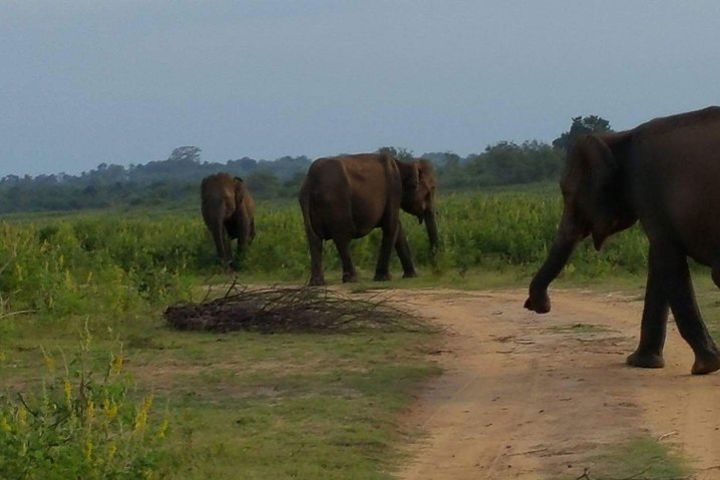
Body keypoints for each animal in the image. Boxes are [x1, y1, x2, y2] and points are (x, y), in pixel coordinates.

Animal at [298, 153, 438, 284]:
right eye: (429, 192)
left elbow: (397, 227)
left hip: (307, 204)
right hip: (336, 202)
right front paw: (383, 278)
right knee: (342, 239)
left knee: (314, 239)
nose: (435, 269)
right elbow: (391, 226)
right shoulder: (394, 188)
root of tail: (311, 183)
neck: (403, 164)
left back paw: (317, 283)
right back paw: (352, 279)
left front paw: (411, 276)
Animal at [524, 107, 720, 376]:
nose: (537, 305)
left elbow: (668, 262)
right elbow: (658, 266)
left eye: (568, 194)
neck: (619, 137)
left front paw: (705, 367)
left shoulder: (648, 191)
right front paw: (641, 363)